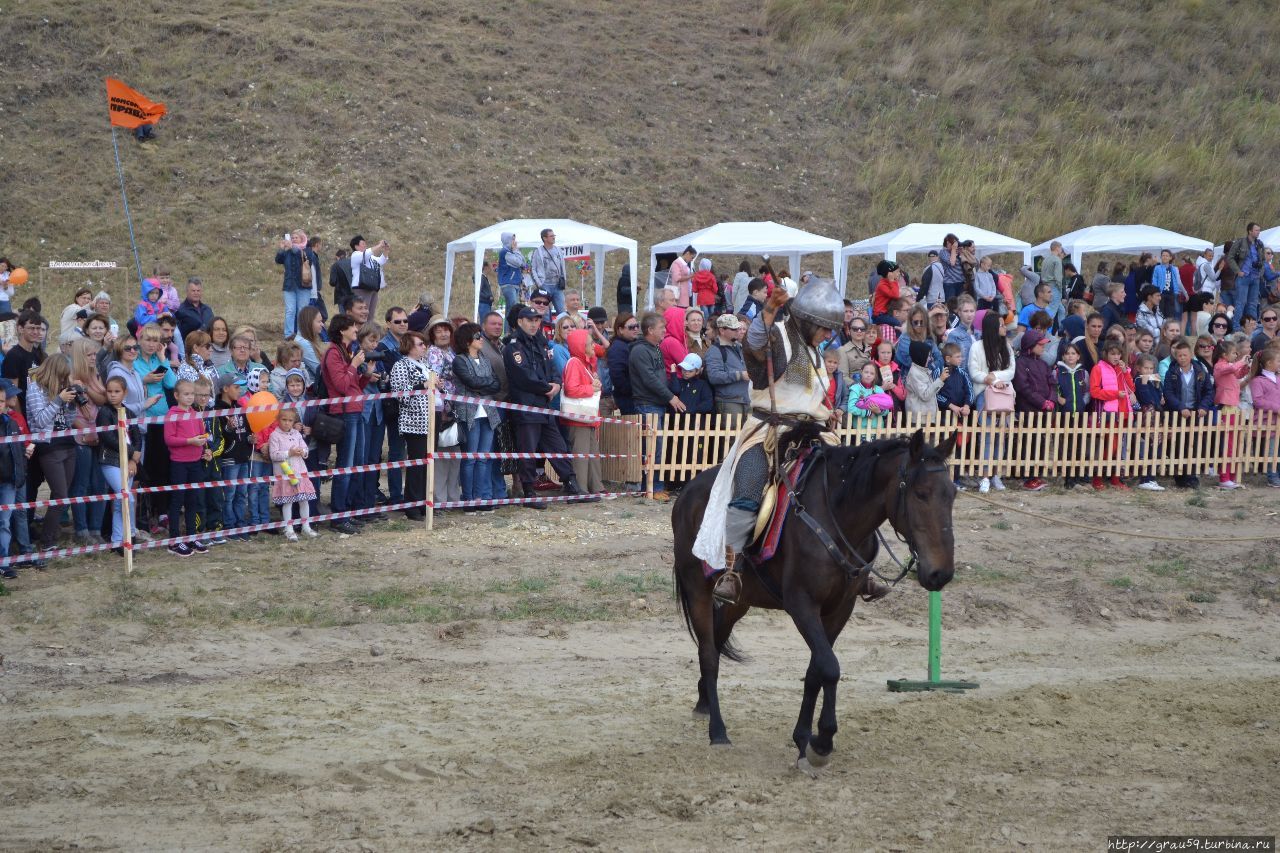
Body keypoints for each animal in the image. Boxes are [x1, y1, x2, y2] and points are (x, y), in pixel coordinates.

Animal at [675, 425, 957, 763]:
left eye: (952, 494)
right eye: (920, 493)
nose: (941, 573)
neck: (836, 515)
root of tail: (686, 492)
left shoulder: (840, 608)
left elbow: (816, 670)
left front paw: (803, 738)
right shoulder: (802, 605)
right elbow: (830, 668)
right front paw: (822, 740)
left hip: (738, 601)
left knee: (717, 643)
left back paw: (704, 701)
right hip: (697, 588)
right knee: (708, 654)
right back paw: (718, 731)